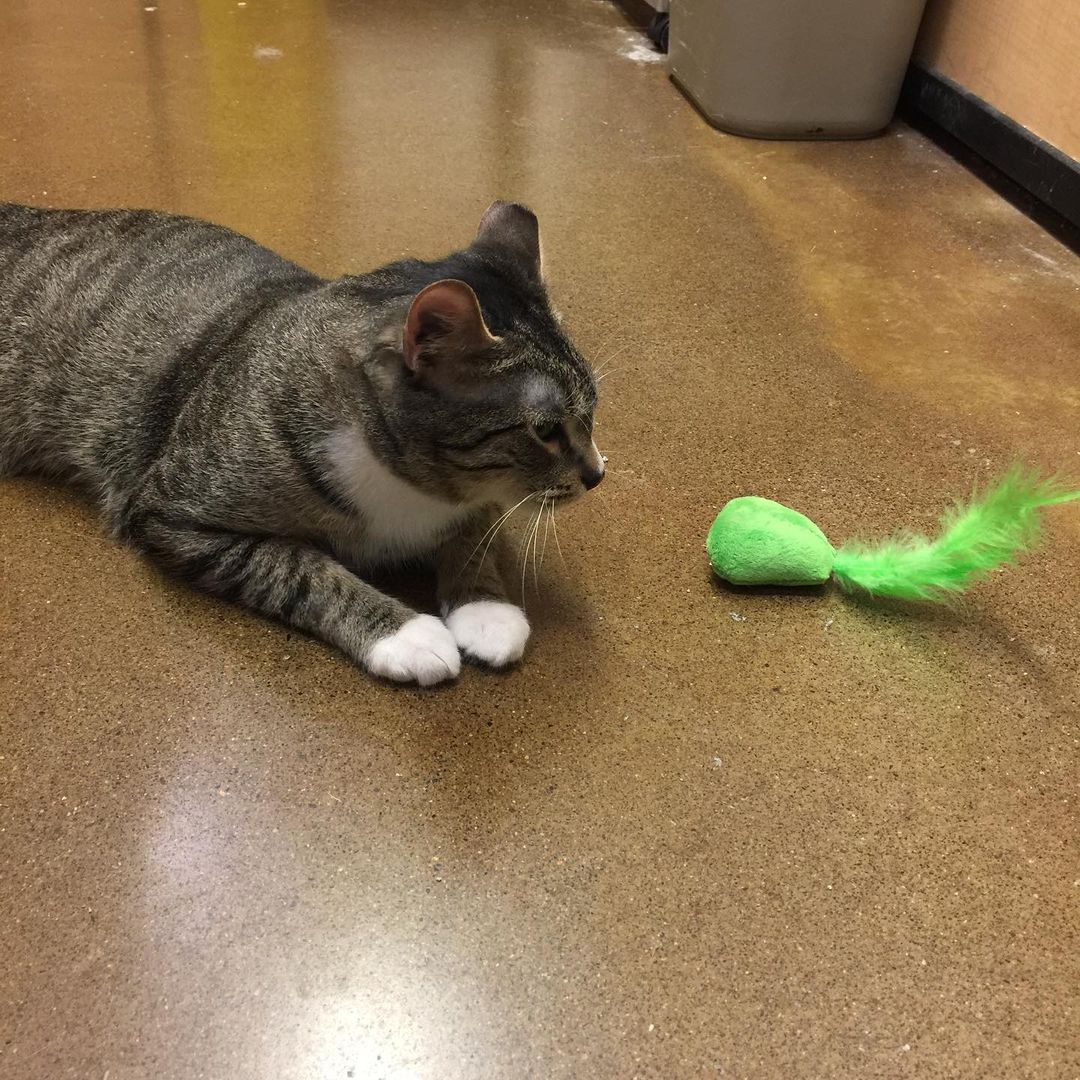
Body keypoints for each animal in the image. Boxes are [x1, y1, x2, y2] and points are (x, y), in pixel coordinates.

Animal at [0, 200, 604, 682]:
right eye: (545, 431)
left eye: (593, 409)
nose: (598, 474)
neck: (412, 489)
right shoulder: (171, 514)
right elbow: (300, 568)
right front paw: (406, 633)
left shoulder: (474, 499)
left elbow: (472, 536)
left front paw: (485, 609)